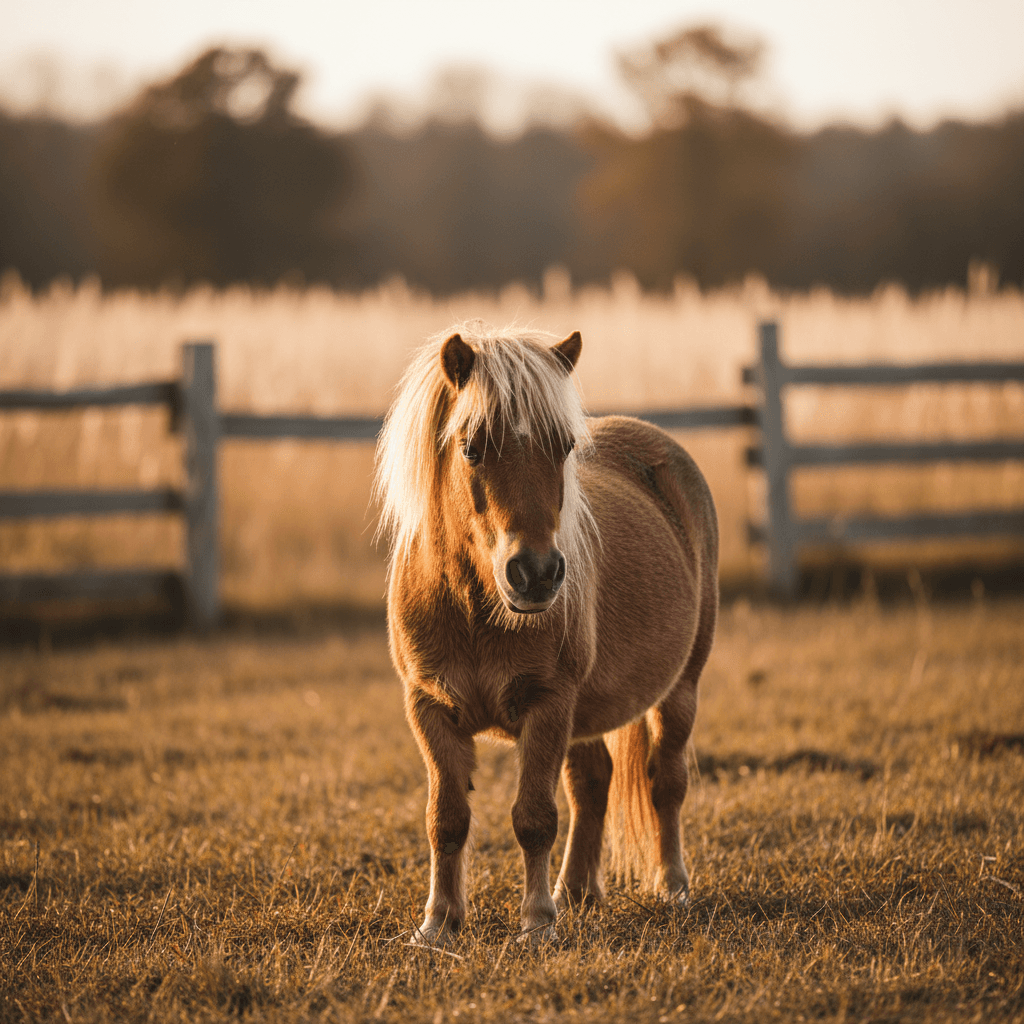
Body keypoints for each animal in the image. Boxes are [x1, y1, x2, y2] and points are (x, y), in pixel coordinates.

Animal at [374, 322, 718, 943]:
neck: (475, 610)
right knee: (593, 784)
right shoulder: (429, 708)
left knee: (665, 782)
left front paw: (536, 922)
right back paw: (575, 891)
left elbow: (533, 818)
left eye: (563, 448)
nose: (535, 573)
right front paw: (439, 922)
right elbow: (446, 819)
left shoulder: (548, 703)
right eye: (471, 447)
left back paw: (671, 886)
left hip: (680, 690)